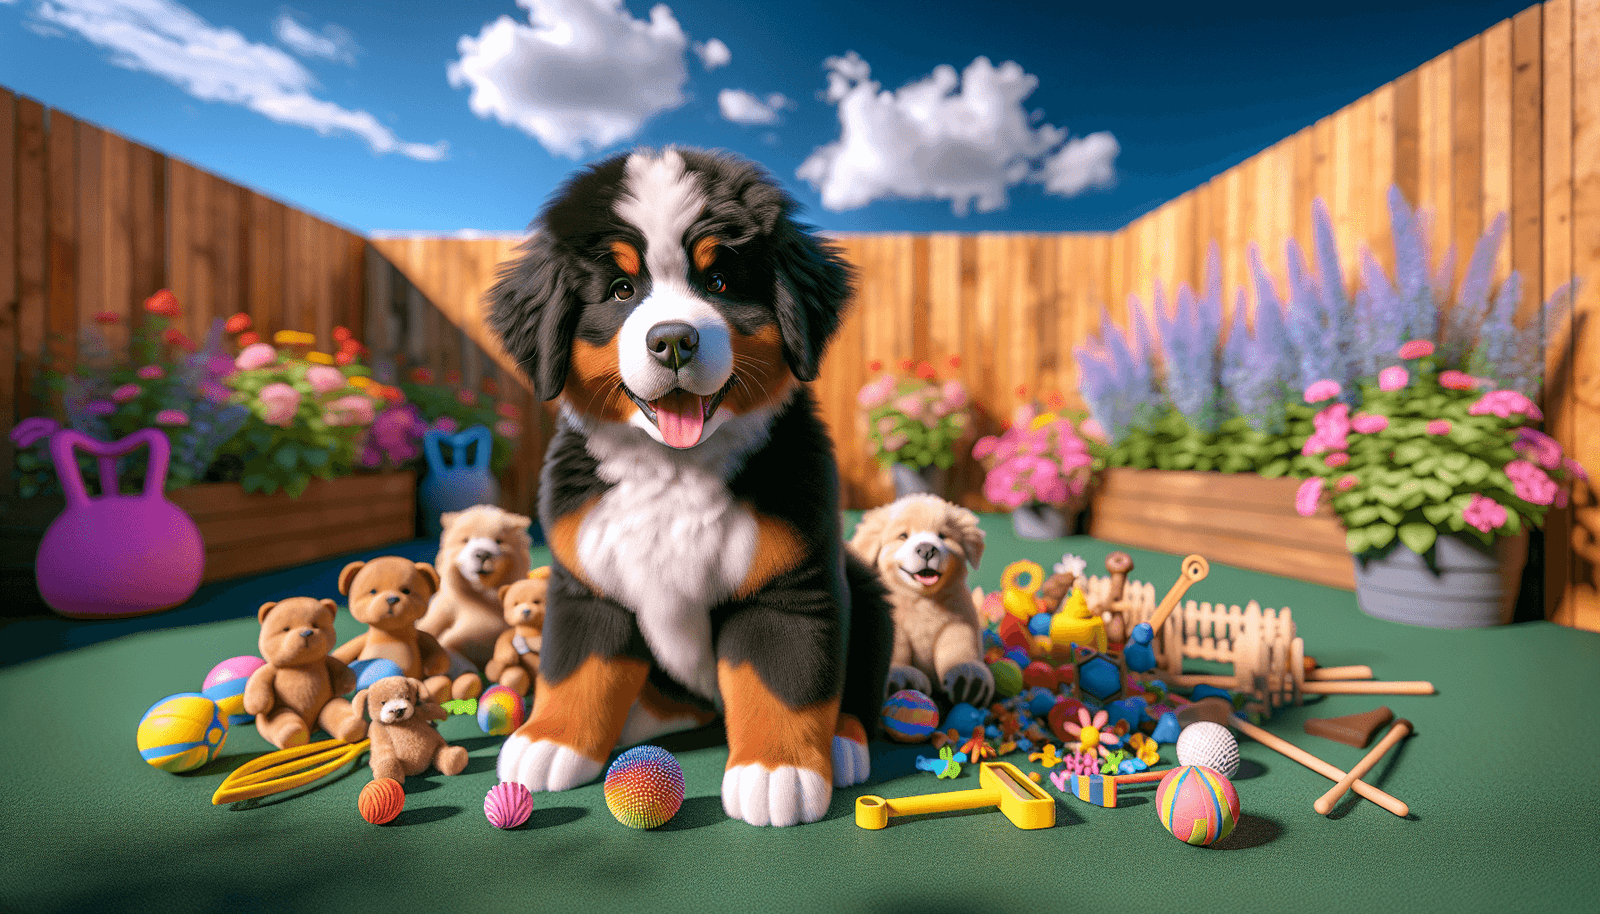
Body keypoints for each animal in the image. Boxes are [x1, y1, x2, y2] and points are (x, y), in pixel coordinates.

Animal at [480, 146, 896, 825]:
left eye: (720, 283)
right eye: (622, 291)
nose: (673, 338)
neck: (672, 473)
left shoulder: (791, 586)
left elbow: (783, 679)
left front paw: (778, 769)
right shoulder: (585, 579)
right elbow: (578, 664)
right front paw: (551, 739)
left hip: (866, 588)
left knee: (856, 683)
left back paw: (842, 740)